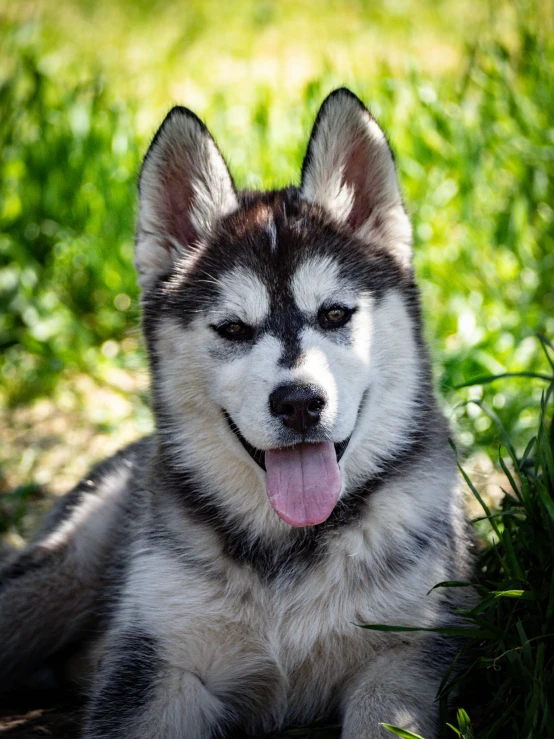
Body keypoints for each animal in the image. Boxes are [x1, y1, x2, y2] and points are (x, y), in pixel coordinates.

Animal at [0, 89, 470, 736]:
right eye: (233, 329)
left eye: (334, 314)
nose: (299, 403)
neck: (288, 552)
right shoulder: (157, 666)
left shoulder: (404, 652)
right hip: (56, 575)